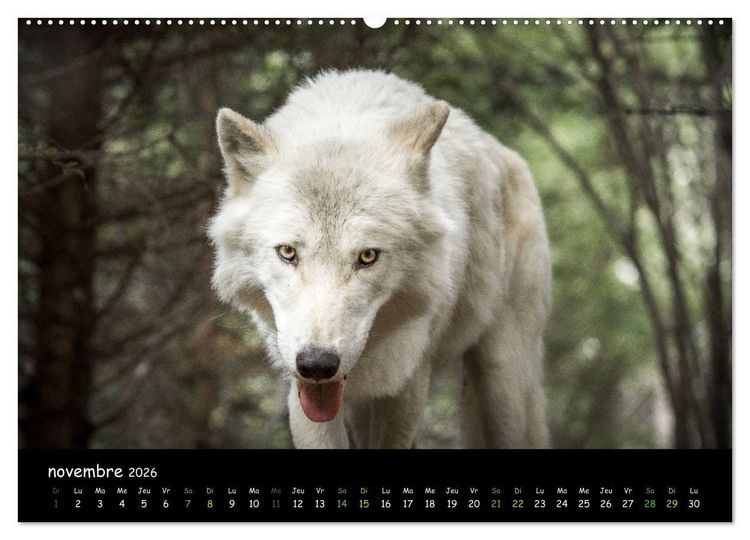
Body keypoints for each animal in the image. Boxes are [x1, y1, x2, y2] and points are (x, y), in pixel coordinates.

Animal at [208, 70, 551, 449]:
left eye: (368, 256)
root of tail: (503, 150)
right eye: (288, 252)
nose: (317, 363)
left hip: (503, 382)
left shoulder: (408, 382)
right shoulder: (303, 384)